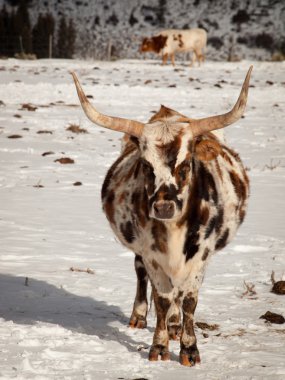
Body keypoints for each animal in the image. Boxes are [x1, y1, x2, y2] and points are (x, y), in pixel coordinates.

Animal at [70, 67, 251, 366]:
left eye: (186, 164)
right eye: (146, 165)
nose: (164, 207)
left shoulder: (202, 255)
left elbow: (188, 300)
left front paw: (189, 348)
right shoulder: (151, 253)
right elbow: (163, 298)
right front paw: (159, 345)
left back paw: (176, 326)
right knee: (142, 276)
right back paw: (141, 316)